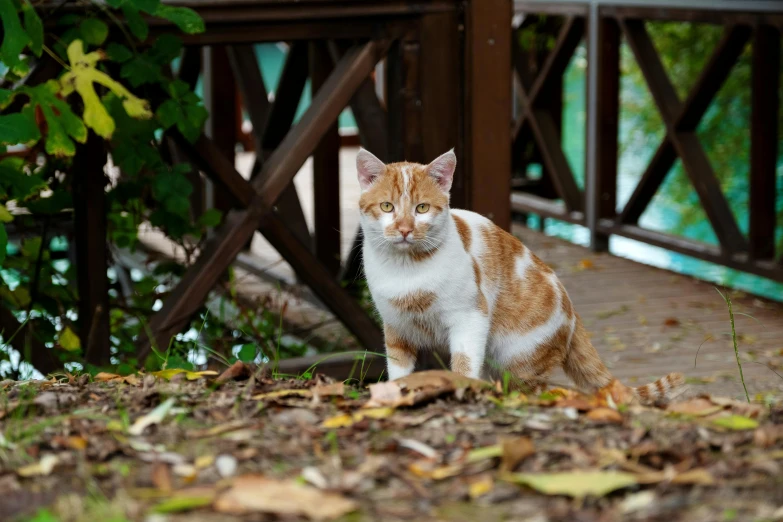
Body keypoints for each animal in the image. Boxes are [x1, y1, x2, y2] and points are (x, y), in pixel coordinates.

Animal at [356, 146, 688, 402]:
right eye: (387, 207)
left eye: (422, 208)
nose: (404, 229)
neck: (407, 270)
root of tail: (572, 312)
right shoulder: (396, 329)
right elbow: (398, 370)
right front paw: (393, 395)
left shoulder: (470, 319)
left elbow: (464, 364)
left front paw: (461, 390)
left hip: (518, 361)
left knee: (532, 392)